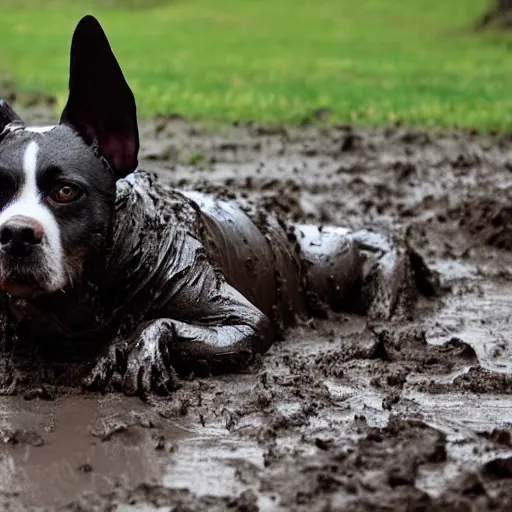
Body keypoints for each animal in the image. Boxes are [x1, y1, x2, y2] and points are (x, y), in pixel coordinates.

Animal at [0, 14, 436, 394]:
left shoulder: (244, 323)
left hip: (328, 263)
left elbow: (163, 322)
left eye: (66, 192)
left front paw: (130, 348)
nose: (15, 234)